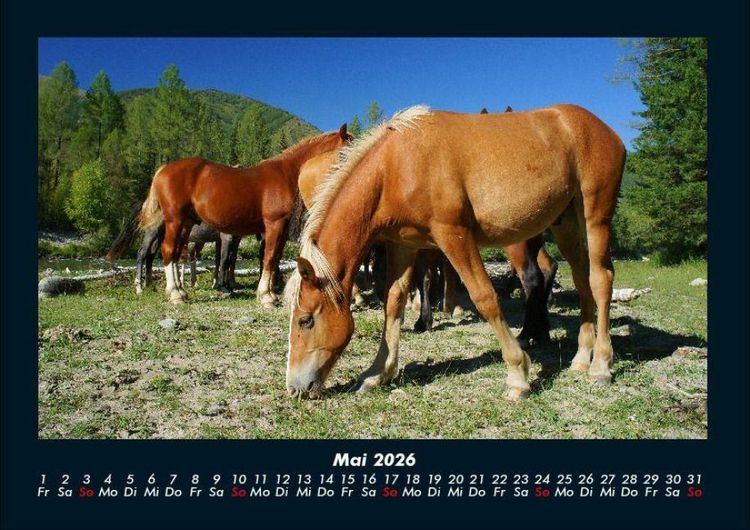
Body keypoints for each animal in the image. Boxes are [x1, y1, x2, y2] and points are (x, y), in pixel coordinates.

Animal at [136, 126, 351, 306]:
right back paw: (174, 293)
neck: (286, 172)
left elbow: (275, 258)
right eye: (347, 148)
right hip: (174, 220)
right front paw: (265, 296)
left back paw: (180, 291)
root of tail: (163, 170)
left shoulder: (280, 229)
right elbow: (269, 257)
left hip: (186, 224)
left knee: (176, 252)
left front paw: (271, 293)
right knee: (167, 250)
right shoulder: (274, 224)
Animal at [285, 105, 625, 400]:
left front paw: (518, 375)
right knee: (582, 281)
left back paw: (601, 365)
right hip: (566, 225)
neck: (398, 164)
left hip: (595, 218)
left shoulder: (454, 236)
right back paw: (581, 358)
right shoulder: (404, 245)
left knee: (601, 280)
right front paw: (378, 373)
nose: (295, 387)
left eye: (305, 320)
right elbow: (393, 303)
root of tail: (603, 128)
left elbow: (485, 298)